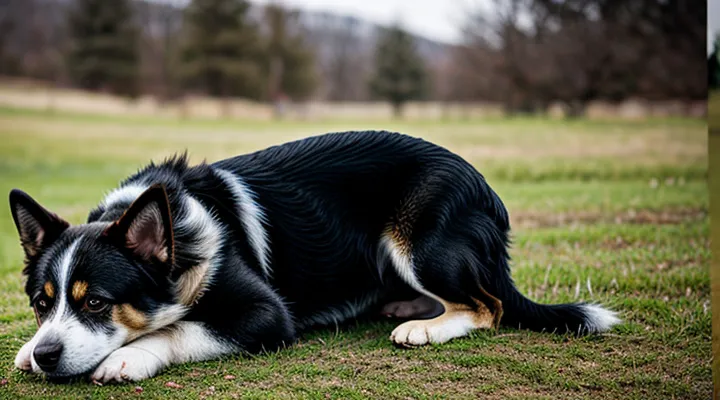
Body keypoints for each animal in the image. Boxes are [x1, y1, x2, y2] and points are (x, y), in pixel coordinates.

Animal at [9, 130, 620, 382]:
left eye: (96, 304)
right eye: (41, 304)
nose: (46, 355)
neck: (179, 242)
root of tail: (485, 189)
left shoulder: (265, 315)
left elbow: (181, 328)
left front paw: (129, 357)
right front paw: (25, 350)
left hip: (419, 241)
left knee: (487, 306)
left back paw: (424, 327)